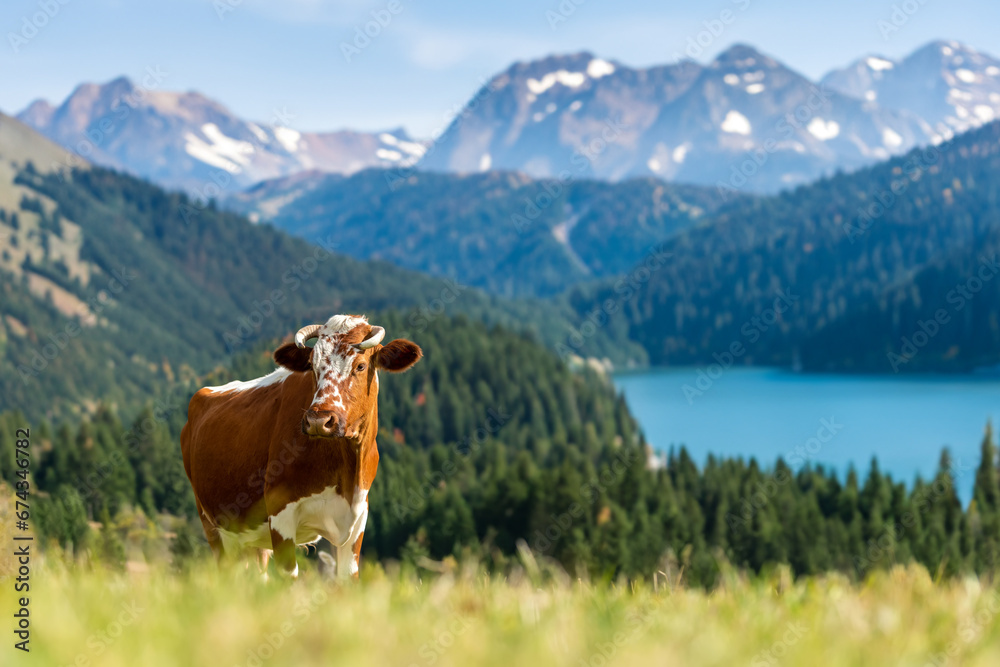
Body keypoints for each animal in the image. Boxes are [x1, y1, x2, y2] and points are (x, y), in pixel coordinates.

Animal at [182, 314, 420, 580]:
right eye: (313, 367)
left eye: (360, 366)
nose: (318, 419)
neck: (346, 468)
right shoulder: (280, 514)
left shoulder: (357, 519)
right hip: (213, 527)